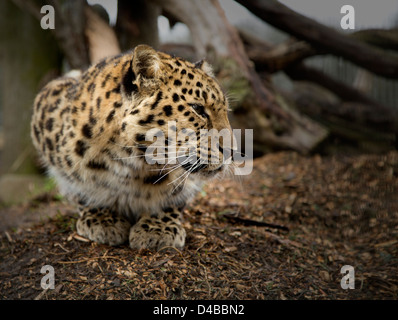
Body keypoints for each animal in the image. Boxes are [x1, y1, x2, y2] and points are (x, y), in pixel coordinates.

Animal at [32, 45, 235, 250]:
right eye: (197, 108)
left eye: (225, 111)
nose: (231, 152)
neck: (131, 161)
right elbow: (79, 189)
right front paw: (102, 218)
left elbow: (174, 196)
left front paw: (157, 227)